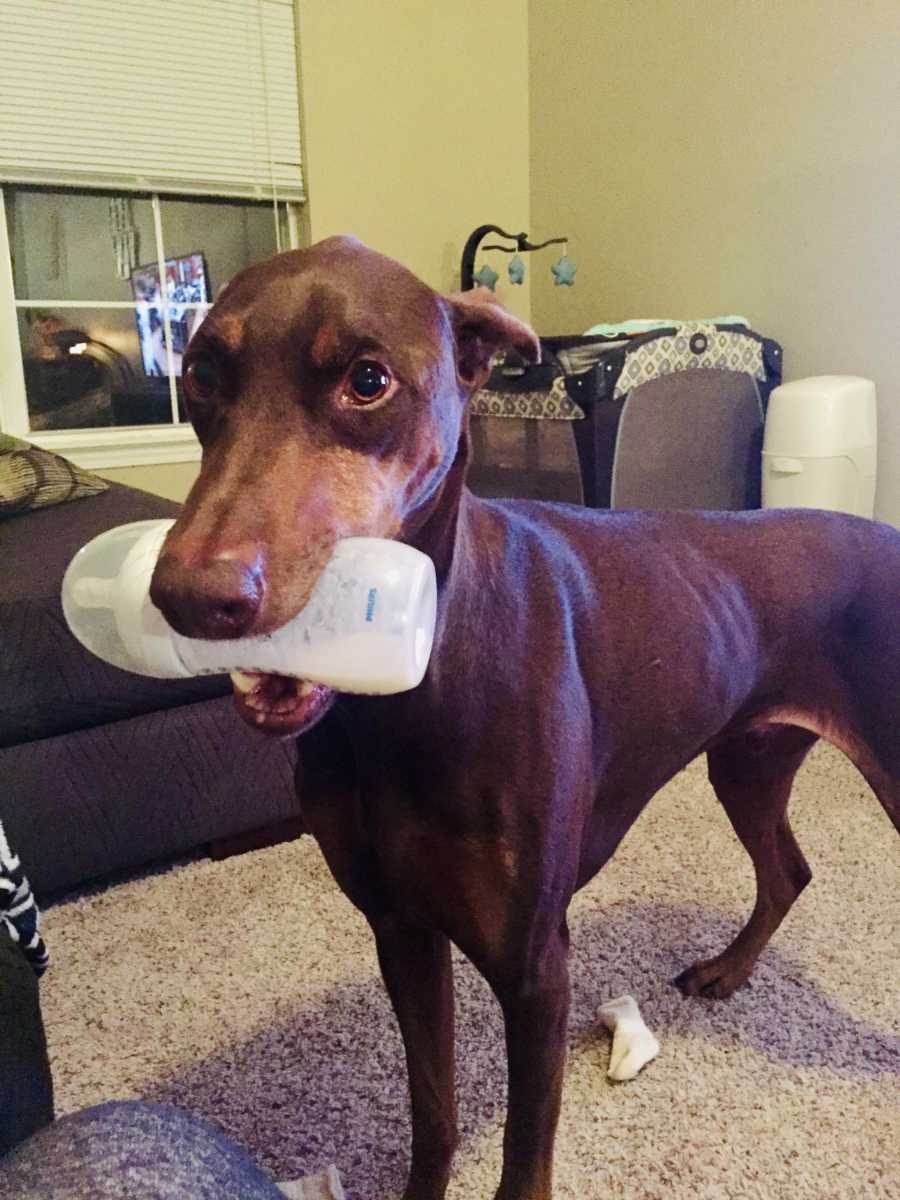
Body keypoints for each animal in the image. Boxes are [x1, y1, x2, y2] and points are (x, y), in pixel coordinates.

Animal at [153, 236, 900, 1200]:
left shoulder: (535, 966)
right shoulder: (400, 929)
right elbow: (432, 1110)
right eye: (201, 375)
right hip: (748, 757)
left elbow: (523, 1152)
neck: (408, 694)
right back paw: (728, 970)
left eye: (367, 380)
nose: (188, 597)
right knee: (788, 871)